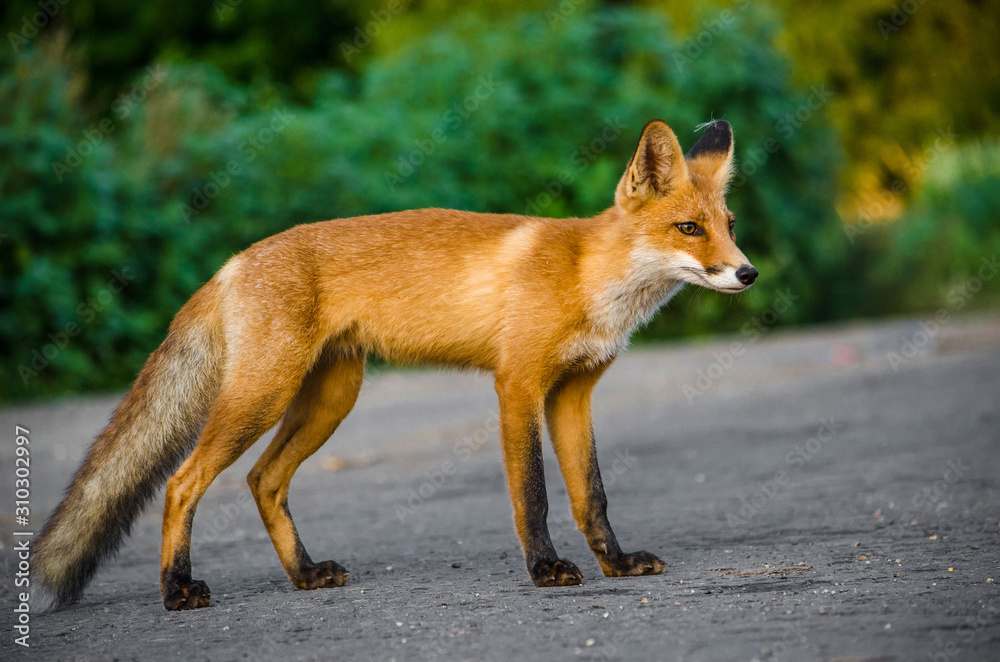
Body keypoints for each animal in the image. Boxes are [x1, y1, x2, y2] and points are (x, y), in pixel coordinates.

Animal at [31, 119, 757, 612]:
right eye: (688, 229)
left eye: (729, 223)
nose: (747, 273)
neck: (588, 279)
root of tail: (232, 263)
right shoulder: (518, 385)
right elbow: (535, 496)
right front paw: (546, 571)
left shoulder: (572, 393)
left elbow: (593, 496)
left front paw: (617, 563)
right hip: (261, 397)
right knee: (183, 483)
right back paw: (177, 588)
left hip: (331, 399)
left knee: (263, 481)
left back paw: (304, 575)